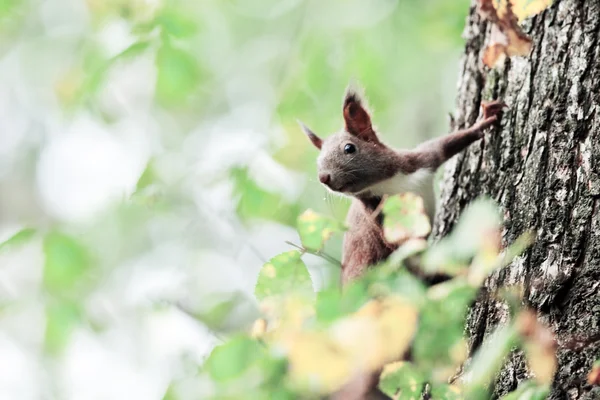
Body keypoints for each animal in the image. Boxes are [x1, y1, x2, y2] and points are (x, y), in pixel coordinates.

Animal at [298, 86, 504, 288]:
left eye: (349, 148)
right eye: (318, 162)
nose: (323, 177)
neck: (386, 185)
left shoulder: (419, 162)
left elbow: (443, 145)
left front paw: (482, 121)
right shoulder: (378, 215)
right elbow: (403, 242)